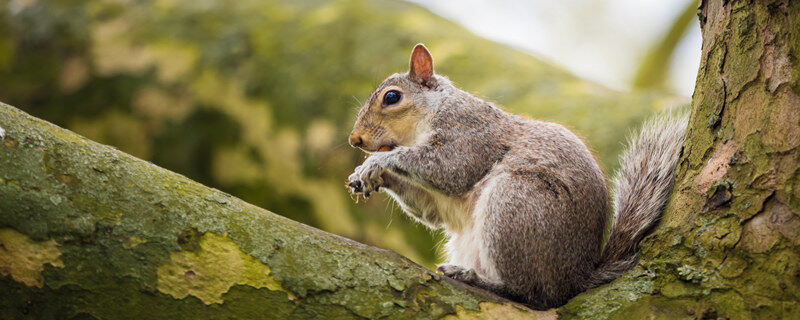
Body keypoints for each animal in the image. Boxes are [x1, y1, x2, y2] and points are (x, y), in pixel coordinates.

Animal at [346, 43, 688, 308]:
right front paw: (368, 176)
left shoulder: (469, 134)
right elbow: (431, 212)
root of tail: (575, 278)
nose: (355, 140)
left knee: (531, 294)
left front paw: (377, 162)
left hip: (513, 205)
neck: (431, 112)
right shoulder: (437, 199)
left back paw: (478, 279)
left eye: (392, 97)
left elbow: (449, 168)